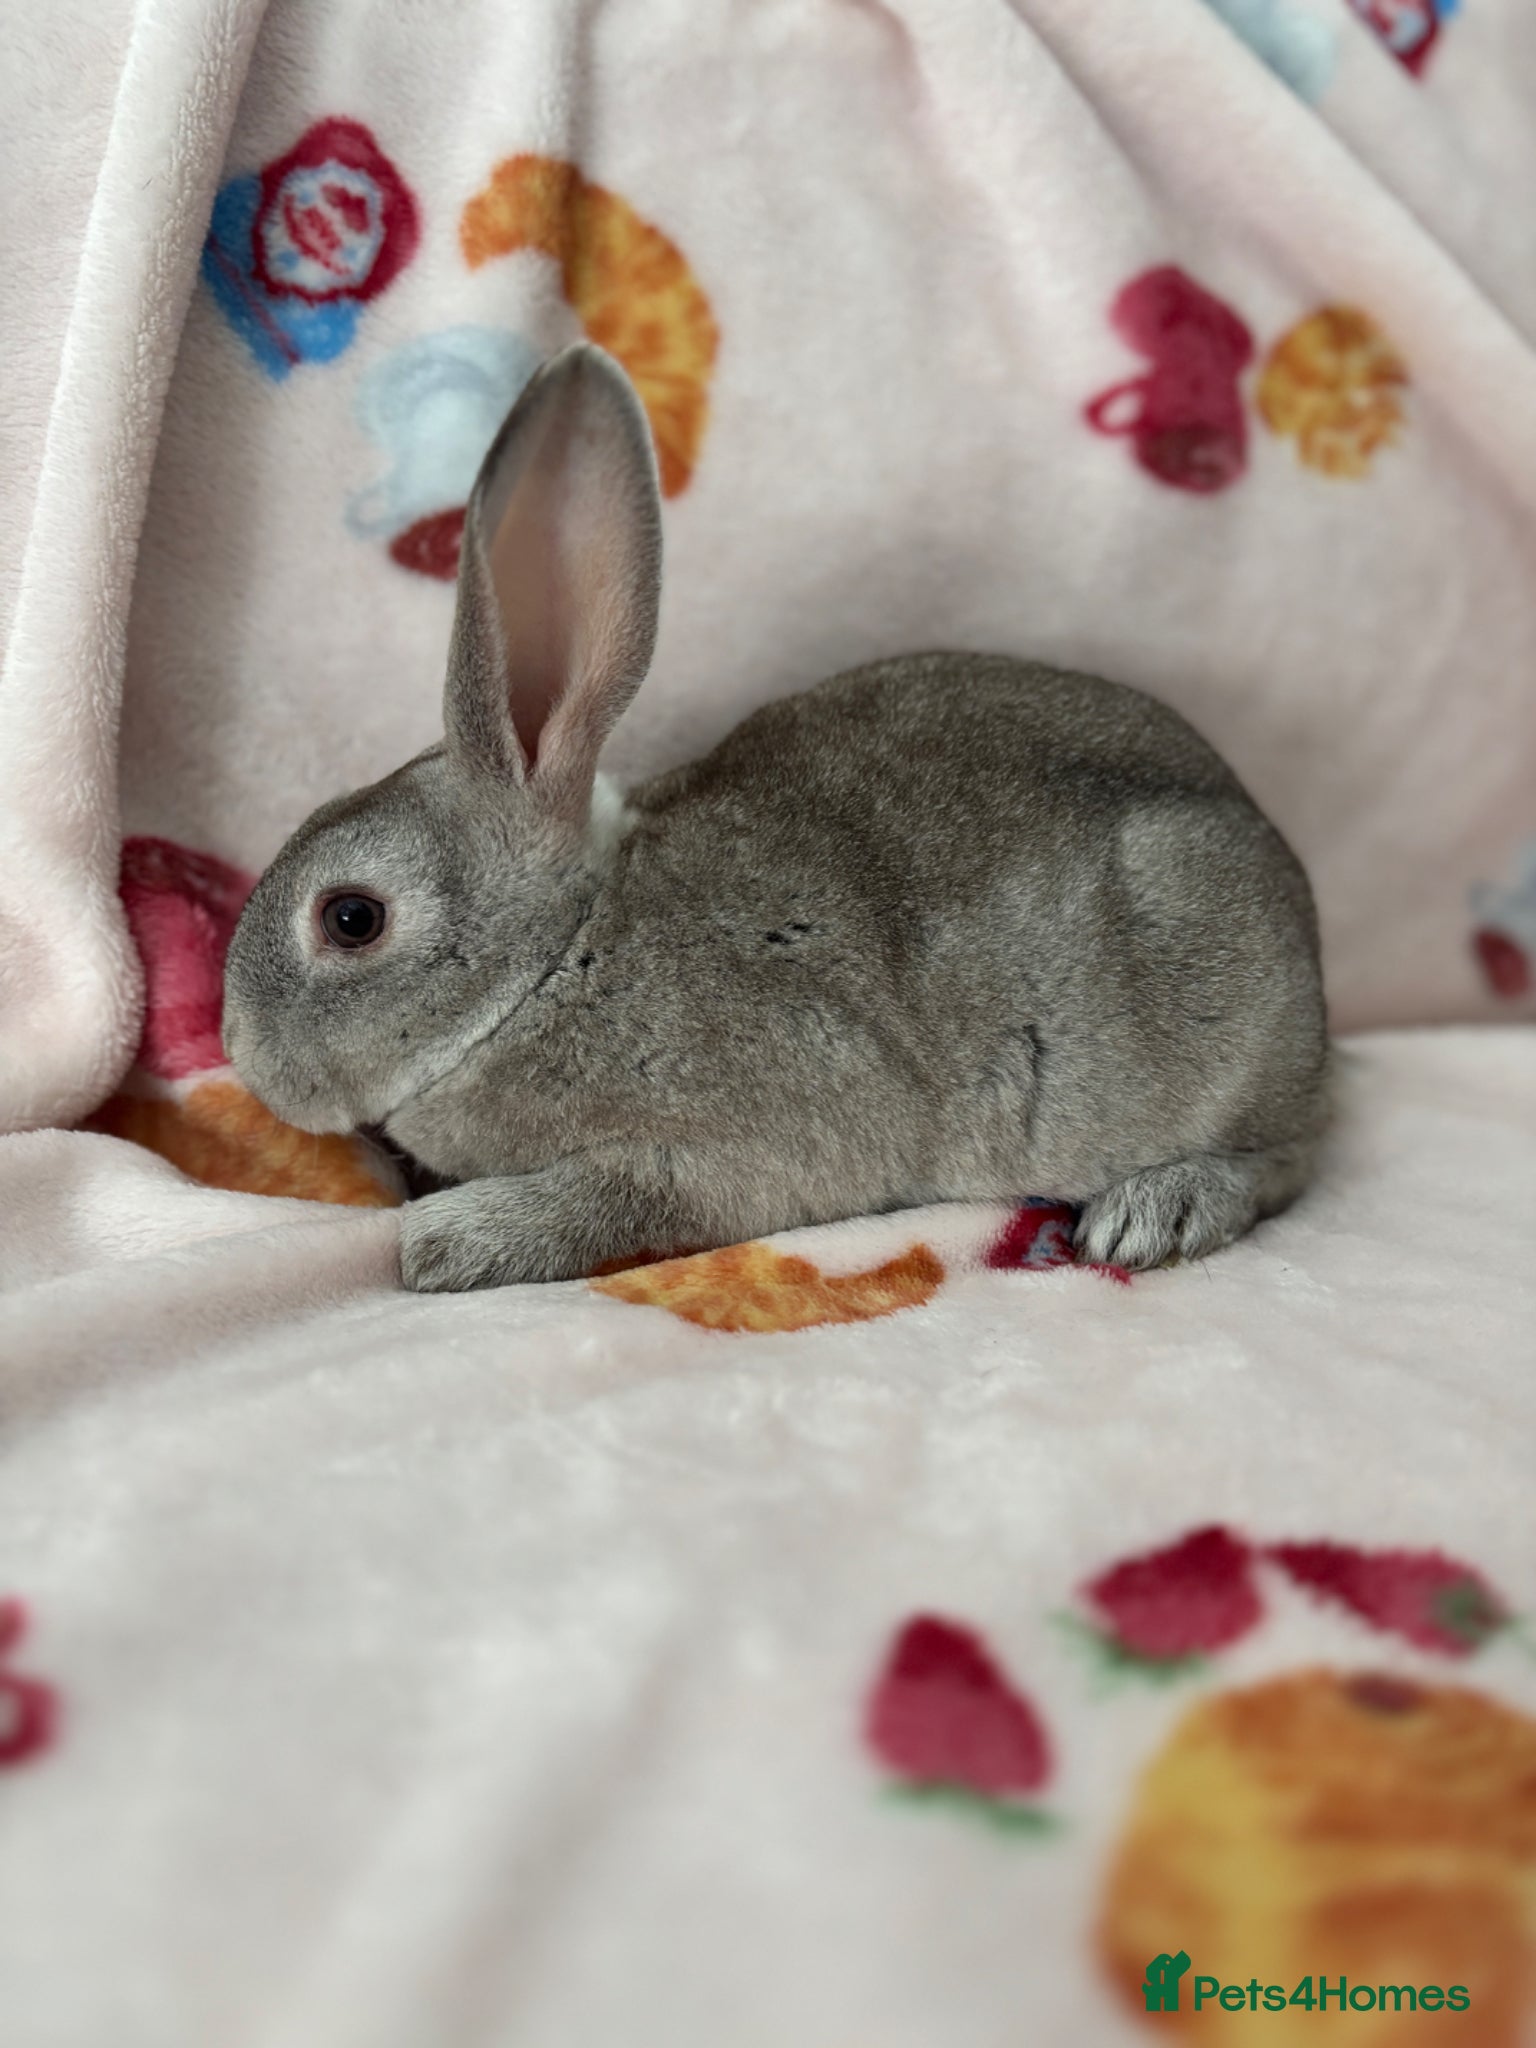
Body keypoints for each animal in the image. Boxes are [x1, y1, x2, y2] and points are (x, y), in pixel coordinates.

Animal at [222, 342, 1329, 1293]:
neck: (557, 958)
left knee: (1287, 1159)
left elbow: (619, 1202)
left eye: (351, 918)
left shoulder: (732, 1145)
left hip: (1217, 1029)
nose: (239, 1050)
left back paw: (1158, 1210)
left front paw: (446, 1241)